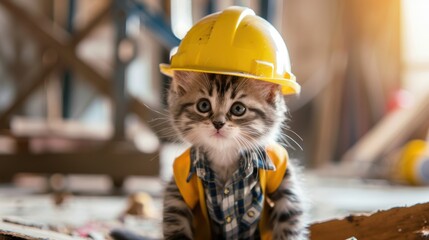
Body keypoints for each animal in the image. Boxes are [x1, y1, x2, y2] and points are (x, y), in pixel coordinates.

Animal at [162, 71, 306, 240]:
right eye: (203, 105)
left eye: (238, 108)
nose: (218, 123)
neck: (224, 155)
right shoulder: (178, 188)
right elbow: (175, 219)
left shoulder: (283, 177)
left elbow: (290, 219)